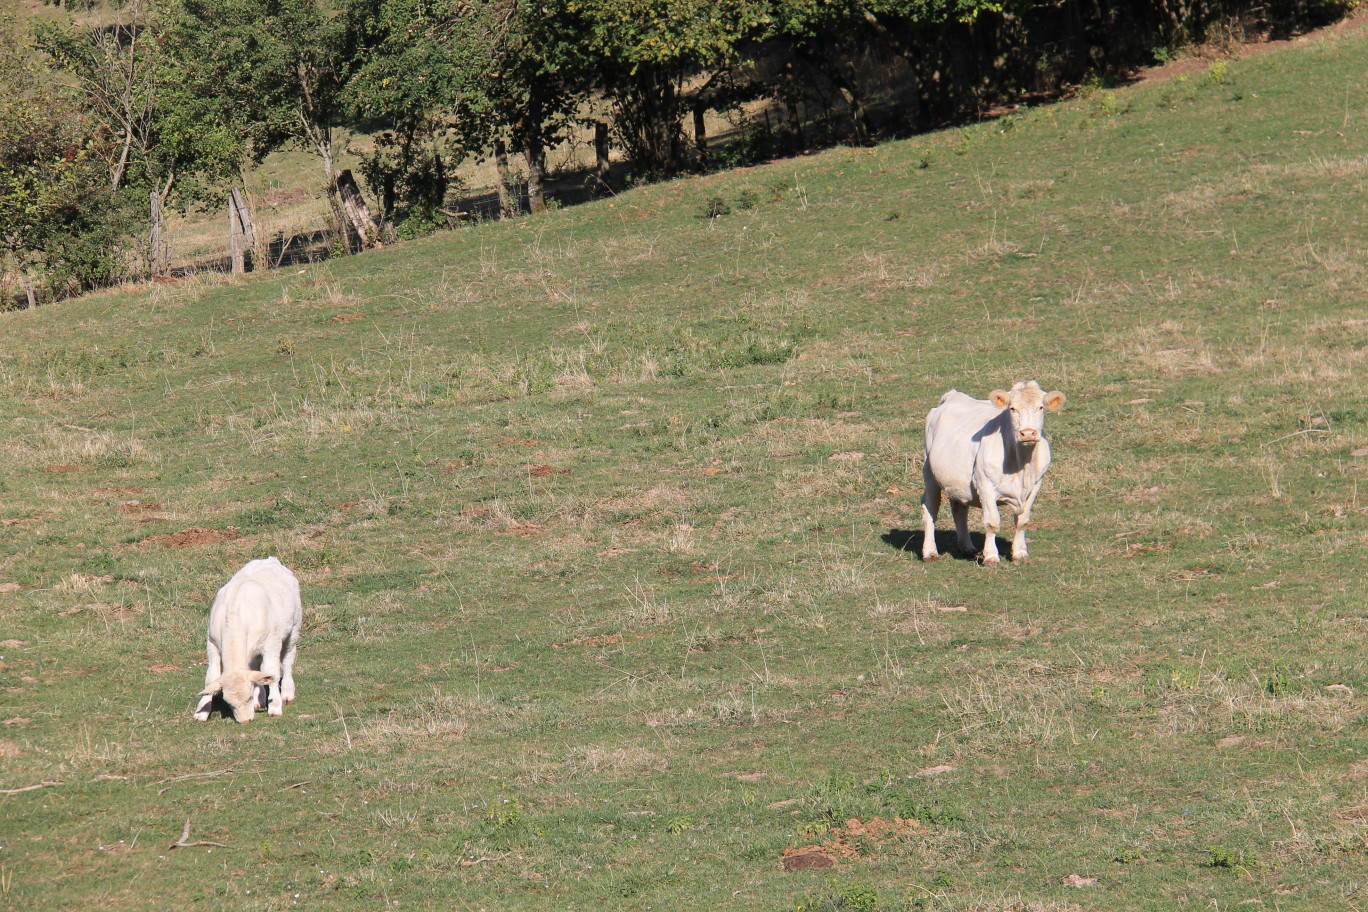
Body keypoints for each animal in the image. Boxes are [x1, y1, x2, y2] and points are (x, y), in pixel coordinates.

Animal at [190, 557, 299, 727]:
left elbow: (272, 672)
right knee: (256, 667)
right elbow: (211, 678)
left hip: (293, 629)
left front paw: (275, 706)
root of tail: (270, 559)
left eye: (248, 697)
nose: (245, 721)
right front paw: (201, 711)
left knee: (287, 660)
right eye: (229, 703)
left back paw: (287, 693)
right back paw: (260, 699)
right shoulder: (212, 643)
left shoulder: (271, 643)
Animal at [924, 377, 1061, 563]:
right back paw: (929, 552)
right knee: (930, 508)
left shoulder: (1036, 485)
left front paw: (1020, 553)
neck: (1021, 465)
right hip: (929, 473)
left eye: (1041, 407)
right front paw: (990, 556)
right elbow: (992, 522)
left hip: (957, 482)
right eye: (1012, 408)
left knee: (959, 510)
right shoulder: (985, 484)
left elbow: (1023, 520)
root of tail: (953, 395)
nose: (1028, 433)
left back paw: (966, 547)